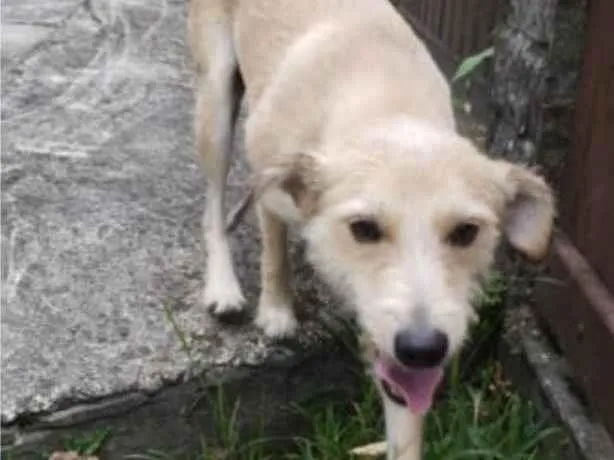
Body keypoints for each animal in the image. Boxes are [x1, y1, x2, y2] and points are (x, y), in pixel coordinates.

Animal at [187, 0, 555, 458]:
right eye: (363, 228)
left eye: (467, 232)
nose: (422, 349)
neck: (385, 105)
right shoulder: (268, 180)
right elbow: (273, 251)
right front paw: (276, 310)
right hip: (215, 104)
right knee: (212, 206)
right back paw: (223, 286)